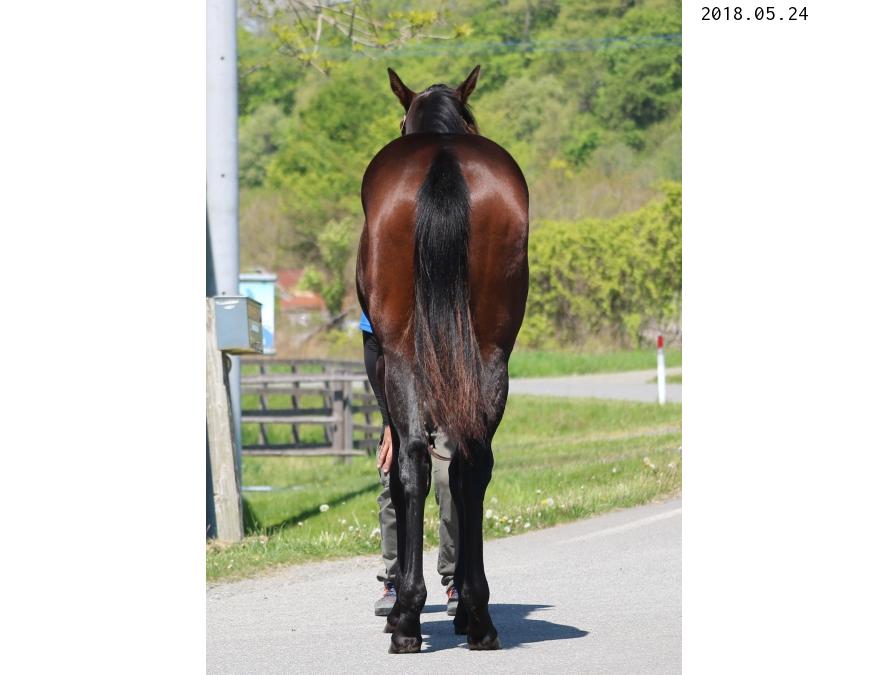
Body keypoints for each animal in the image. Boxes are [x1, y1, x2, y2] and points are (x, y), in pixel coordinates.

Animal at [356, 65, 529, 654]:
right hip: (491, 355)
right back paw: (478, 614)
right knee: (472, 464)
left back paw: (407, 615)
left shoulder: (381, 357)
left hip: (402, 355)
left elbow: (401, 469)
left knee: (413, 460)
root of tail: (444, 159)